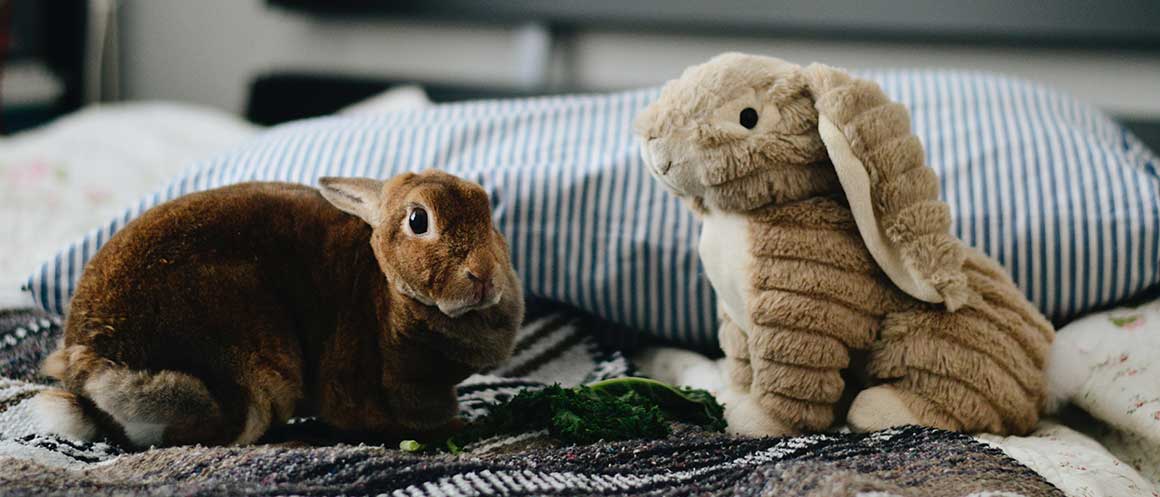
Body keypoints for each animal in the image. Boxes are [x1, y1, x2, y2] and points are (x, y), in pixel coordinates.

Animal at [31, 169, 524, 445]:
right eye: (419, 220)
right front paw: (457, 428)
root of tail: (91, 366)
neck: (389, 289)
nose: (483, 276)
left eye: (487, 212)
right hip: (252, 365)